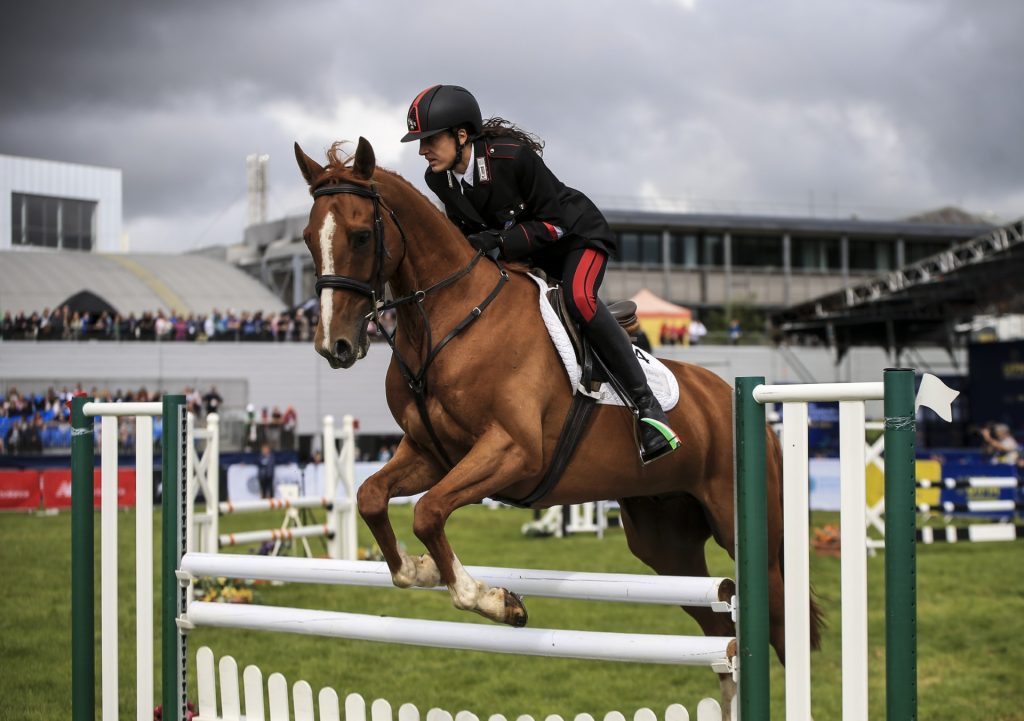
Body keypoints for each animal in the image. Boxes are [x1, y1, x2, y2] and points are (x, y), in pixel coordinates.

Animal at [292, 136, 819, 716]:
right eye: (308, 239)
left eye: (362, 235)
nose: (335, 346)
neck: (448, 318)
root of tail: (743, 398)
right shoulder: (432, 454)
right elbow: (371, 496)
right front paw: (420, 570)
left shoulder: (513, 453)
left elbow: (429, 512)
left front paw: (496, 601)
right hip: (665, 544)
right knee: (718, 627)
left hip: (746, 532)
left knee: (778, 624)